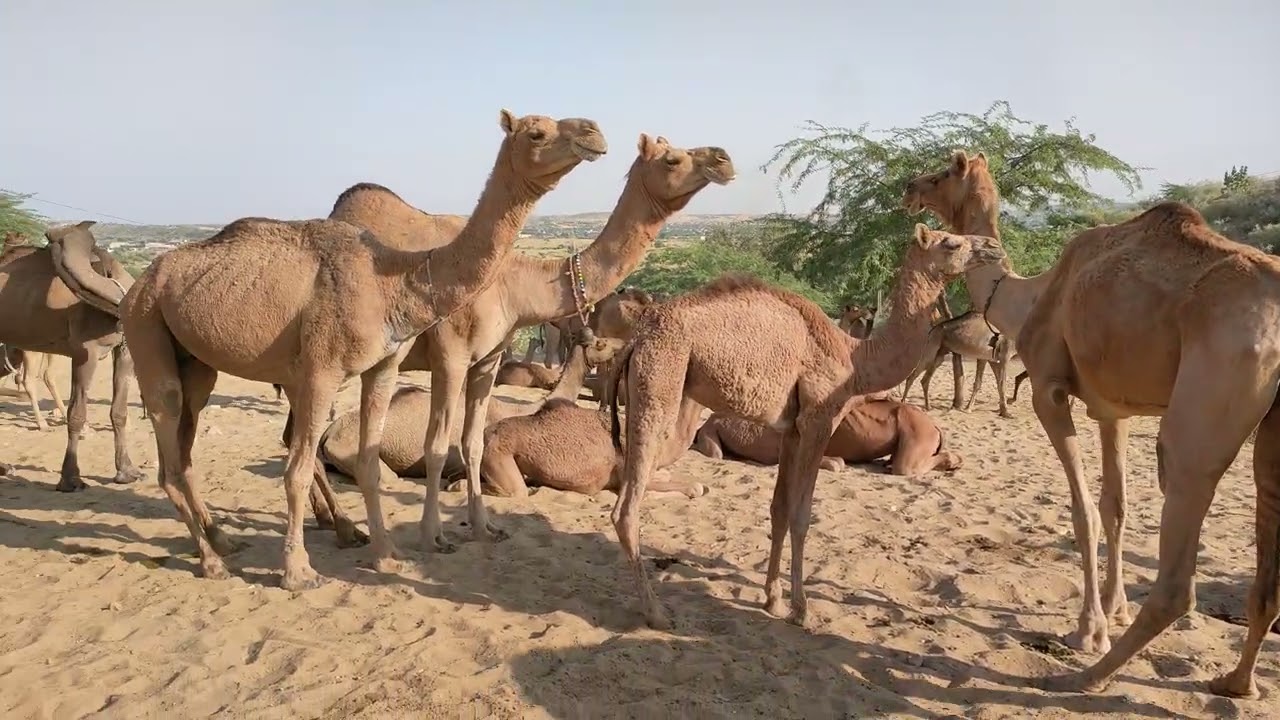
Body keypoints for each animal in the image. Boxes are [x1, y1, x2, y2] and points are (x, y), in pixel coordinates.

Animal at [0, 221, 141, 490]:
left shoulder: (124, 349)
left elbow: (119, 411)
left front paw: (127, 471)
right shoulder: (86, 351)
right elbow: (76, 413)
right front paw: (71, 479)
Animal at [122, 110, 607, 589]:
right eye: (536, 132)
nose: (595, 132)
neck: (396, 279)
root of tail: (138, 283)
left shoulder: (385, 365)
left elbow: (370, 464)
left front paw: (387, 556)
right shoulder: (325, 371)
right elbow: (296, 470)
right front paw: (298, 573)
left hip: (196, 362)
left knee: (186, 450)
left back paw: (225, 541)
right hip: (146, 327)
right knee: (169, 448)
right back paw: (213, 561)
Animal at [322, 133, 733, 553]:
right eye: (672, 159)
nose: (723, 159)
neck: (513, 284)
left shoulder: (488, 357)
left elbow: (474, 442)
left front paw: (483, 527)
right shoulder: (451, 354)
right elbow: (437, 446)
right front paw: (435, 535)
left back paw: (339, 525)